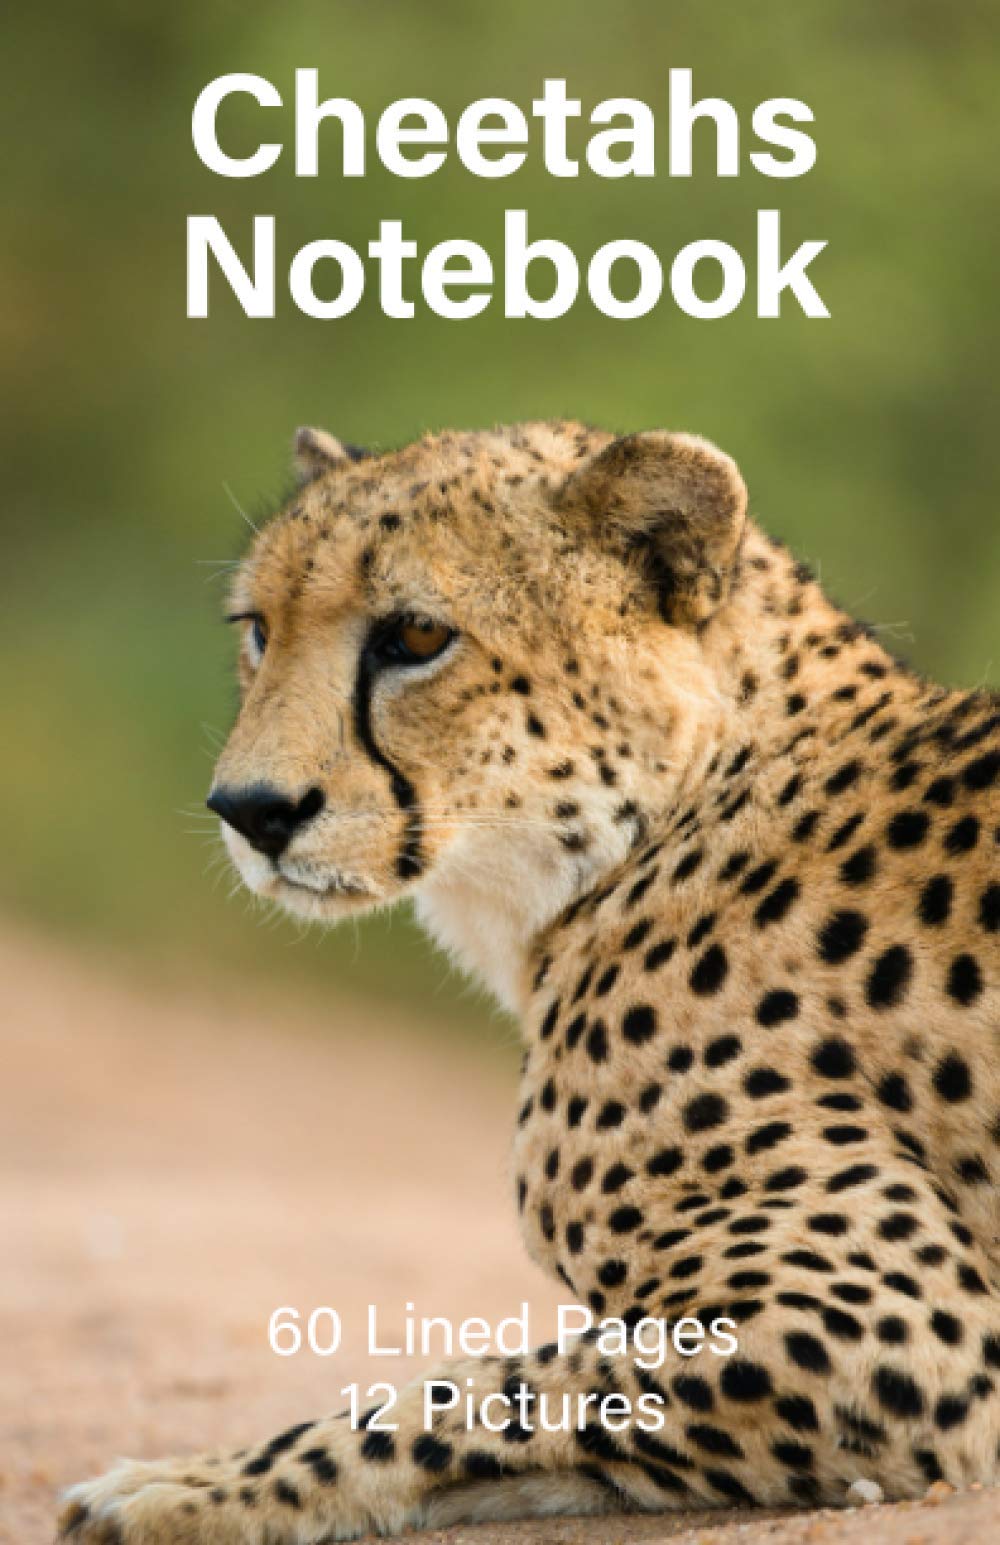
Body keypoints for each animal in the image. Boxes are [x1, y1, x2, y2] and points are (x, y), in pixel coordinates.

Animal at [61, 420, 999, 1542]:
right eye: (259, 628)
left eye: (417, 635)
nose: (251, 809)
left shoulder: (893, 1327)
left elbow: (455, 1392)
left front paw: (184, 1487)